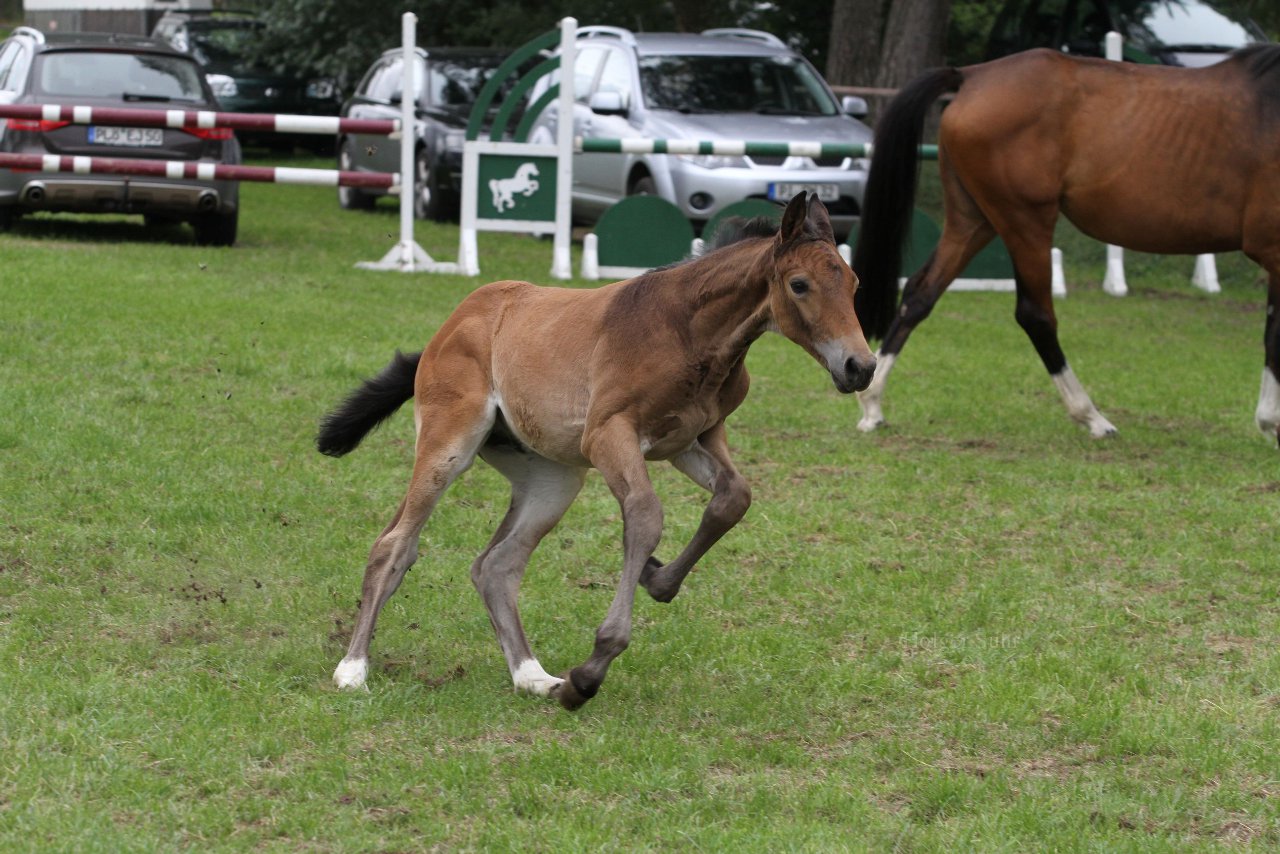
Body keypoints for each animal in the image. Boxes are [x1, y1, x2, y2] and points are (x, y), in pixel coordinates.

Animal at [320, 197, 880, 711]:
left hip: (553, 479)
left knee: (496, 566)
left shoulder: (694, 438)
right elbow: (646, 515)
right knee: (395, 545)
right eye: (799, 285)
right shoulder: (610, 434)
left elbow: (733, 498)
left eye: (853, 285)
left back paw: (534, 677)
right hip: (449, 446)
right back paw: (352, 669)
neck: (689, 331)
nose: (861, 367)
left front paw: (657, 579)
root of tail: (450, 326)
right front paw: (591, 671)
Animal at [849, 45, 1280, 448]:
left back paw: (872, 404)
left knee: (920, 294)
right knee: (1036, 315)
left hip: (974, 222)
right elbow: (1274, 334)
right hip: (1024, 221)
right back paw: (1091, 416)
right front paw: (1271, 423)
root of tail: (974, 75)